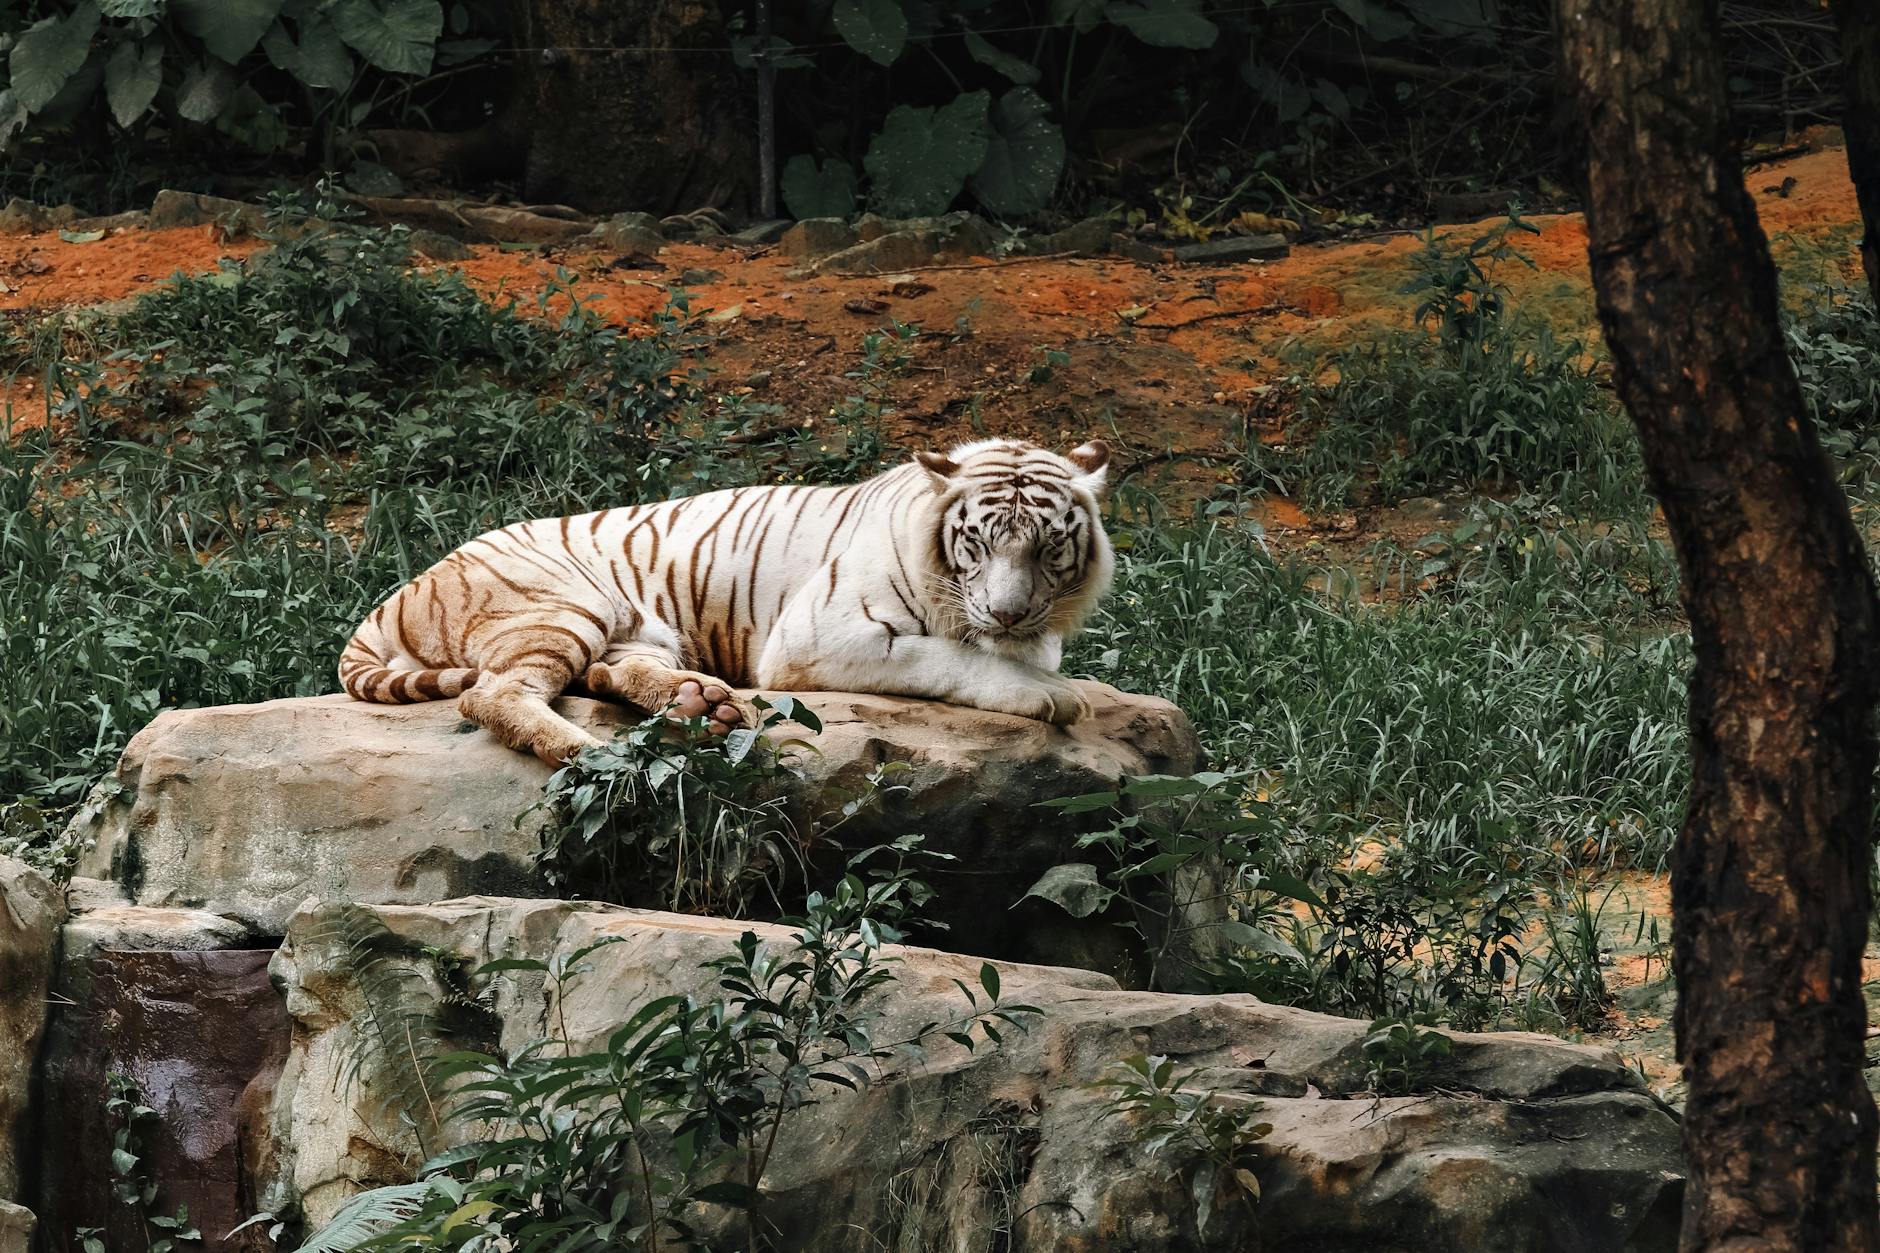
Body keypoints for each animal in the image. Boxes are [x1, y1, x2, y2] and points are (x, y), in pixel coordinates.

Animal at [338, 438, 1116, 764]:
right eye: (977, 542)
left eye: (1049, 546)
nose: (1009, 613)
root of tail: (400, 590)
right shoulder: (818, 636)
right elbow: (951, 657)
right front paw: (1049, 694)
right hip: (562, 602)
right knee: (493, 693)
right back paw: (585, 751)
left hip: (633, 626)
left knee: (606, 671)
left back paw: (699, 702)